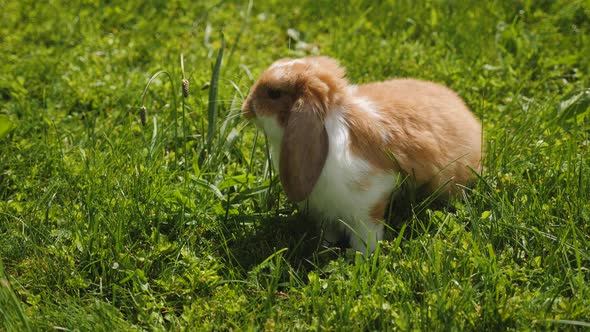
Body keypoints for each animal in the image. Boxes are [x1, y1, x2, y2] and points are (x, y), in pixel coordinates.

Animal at [243, 57, 484, 253]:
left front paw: (363, 257)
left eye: (274, 93)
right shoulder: (325, 212)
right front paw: (325, 247)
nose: (246, 107)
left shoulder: (369, 201)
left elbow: (367, 233)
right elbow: (328, 231)